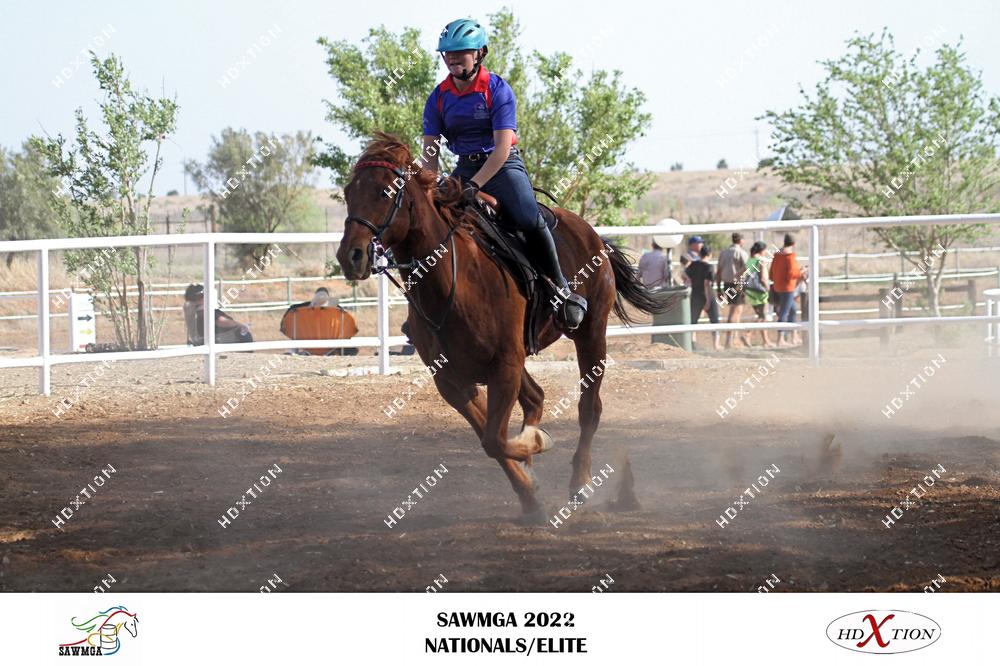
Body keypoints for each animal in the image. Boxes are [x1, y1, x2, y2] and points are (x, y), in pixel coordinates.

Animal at [337, 133, 677, 524]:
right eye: (348, 191)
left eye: (384, 192)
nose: (351, 255)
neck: (451, 282)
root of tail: (593, 236)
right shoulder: (452, 379)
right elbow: (491, 439)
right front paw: (529, 492)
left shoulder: (504, 366)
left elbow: (495, 439)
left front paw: (537, 445)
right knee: (536, 398)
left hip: (591, 334)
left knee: (589, 409)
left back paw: (580, 481)